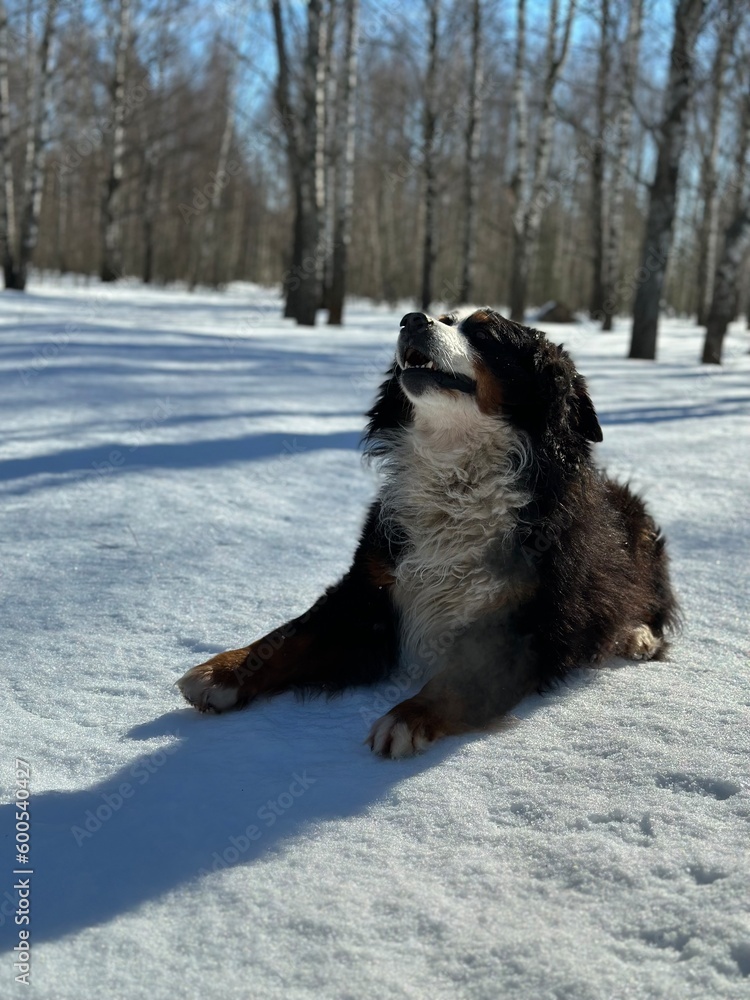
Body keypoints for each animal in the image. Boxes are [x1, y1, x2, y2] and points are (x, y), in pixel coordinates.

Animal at [178, 308, 680, 752]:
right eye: (444, 316)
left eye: (486, 333)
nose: (411, 319)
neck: (455, 474)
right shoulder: (369, 587)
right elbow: (289, 636)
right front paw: (224, 672)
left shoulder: (528, 621)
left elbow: (461, 679)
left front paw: (408, 717)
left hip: (640, 535)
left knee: (650, 602)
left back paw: (636, 636)